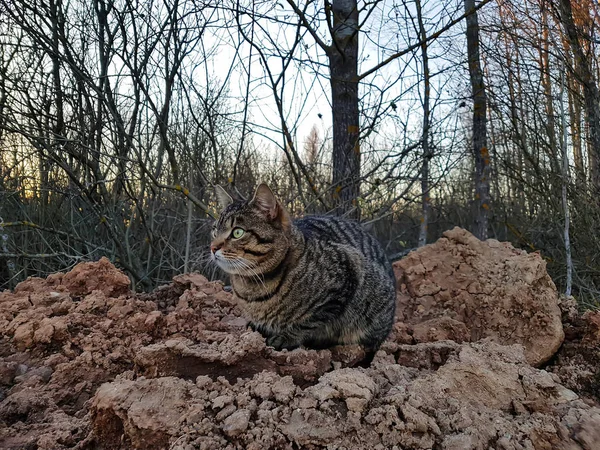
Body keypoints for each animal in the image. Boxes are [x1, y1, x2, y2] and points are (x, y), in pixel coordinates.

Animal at [209, 183, 396, 366]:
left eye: (237, 232)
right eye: (215, 231)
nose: (212, 247)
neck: (251, 286)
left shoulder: (346, 272)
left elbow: (310, 321)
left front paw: (286, 337)